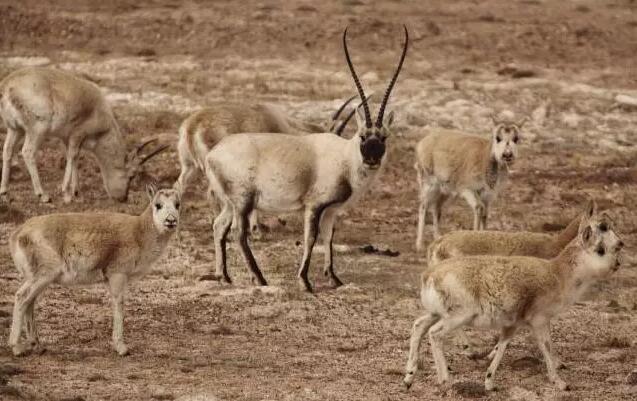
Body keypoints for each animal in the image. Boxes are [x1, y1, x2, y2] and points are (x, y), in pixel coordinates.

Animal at [0, 67, 168, 204]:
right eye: (132, 175)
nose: (123, 198)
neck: (98, 107)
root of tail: (7, 86)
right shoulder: (78, 134)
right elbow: (72, 156)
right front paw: (66, 193)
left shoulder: (67, 138)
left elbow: (75, 158)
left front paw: (76, 193)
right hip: (37, 129)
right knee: (27, 152)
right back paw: (43, 195)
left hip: (15, 129)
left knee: (7, 151)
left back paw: (5, 193)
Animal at [8, 184, 180, 357]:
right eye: (158, 205)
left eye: (177, 204)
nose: (171, 220)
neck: (139, 232)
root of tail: (17, 234)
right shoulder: (117, 274)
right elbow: (119, 304)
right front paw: (121, 347)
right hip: (44, 275)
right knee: (22, 297)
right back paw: (17, 347)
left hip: (36, 278)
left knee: (29, 302)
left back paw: (38, 345)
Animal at [204, 26, 409, 292]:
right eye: (363, 136)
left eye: (383, 137)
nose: (372, 160)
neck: (345, 158)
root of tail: (213, 153)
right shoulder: (314, 206)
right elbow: (310, 238)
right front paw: (305, 281)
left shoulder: (332, 210)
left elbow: (329, 238)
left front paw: (334, 278)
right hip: (243, 201)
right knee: (239, 233)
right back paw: (259, 278)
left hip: (230, 203)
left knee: (219, 226)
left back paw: (225, 277)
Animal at [403, 200, 624, 391]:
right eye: (600, 248)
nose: (617, 262)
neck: (557, 272)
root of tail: (430, 274)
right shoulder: (540, 321)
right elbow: (547, 347)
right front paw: (560, 382)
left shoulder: (513, 324)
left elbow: (503, 346)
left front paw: (489, 381)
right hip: (456, 317)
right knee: (435, 334)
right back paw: (446, 377)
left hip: (436, 313)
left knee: (418, 326)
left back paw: (409, 377)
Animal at [414, 114, 528, 252]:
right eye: (497, 138)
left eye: (516, 139)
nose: (507, 154)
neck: (486, 160)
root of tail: (422, 142)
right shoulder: (467, 189)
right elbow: (479, 207)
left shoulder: (488, 195)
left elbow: (485, 213)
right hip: (428, 182)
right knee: (423, 206)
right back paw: (419, 245)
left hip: (444, 189)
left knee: (436, 208)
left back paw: (438, 238)